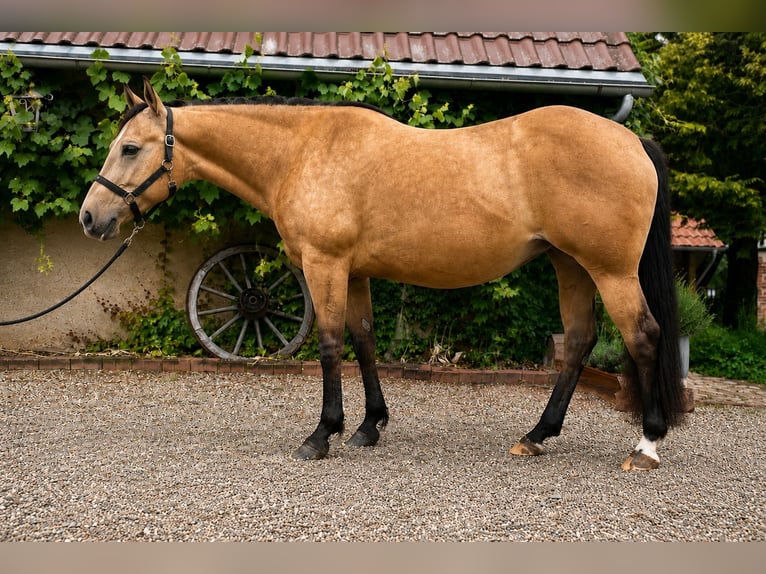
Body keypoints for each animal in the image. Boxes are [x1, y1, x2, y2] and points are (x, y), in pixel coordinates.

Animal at [80, 77, 685, 470]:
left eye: (129, 148)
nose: (91, 217)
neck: (302, 152)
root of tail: (631, 140)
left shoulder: (325, 265)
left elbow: (328, 344)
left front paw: (321, 434)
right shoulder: (354, 272)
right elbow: (364, 339)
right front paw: (370, 426)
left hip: (610, 271)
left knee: (643, 336)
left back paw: (647, 446)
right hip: (570, 265)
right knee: (579, 341)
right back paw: (536, 436)